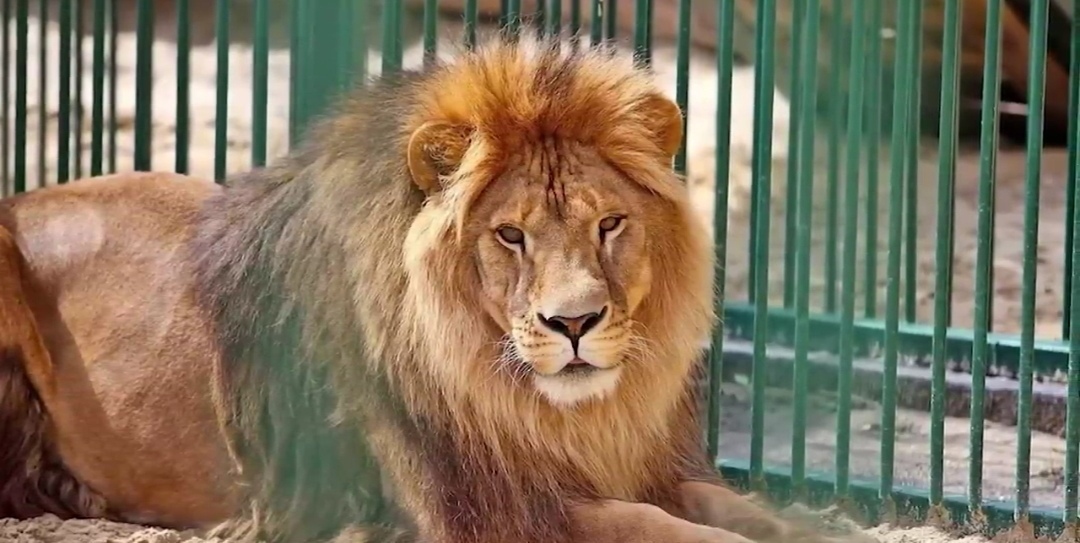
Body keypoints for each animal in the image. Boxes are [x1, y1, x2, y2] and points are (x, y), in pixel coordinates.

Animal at [0, 36, 858, 543]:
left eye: (610, 224)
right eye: (510, 235)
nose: (575, 322)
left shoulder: (646, 464)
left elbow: (732, 507)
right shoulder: (468, 513)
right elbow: (654, 526)